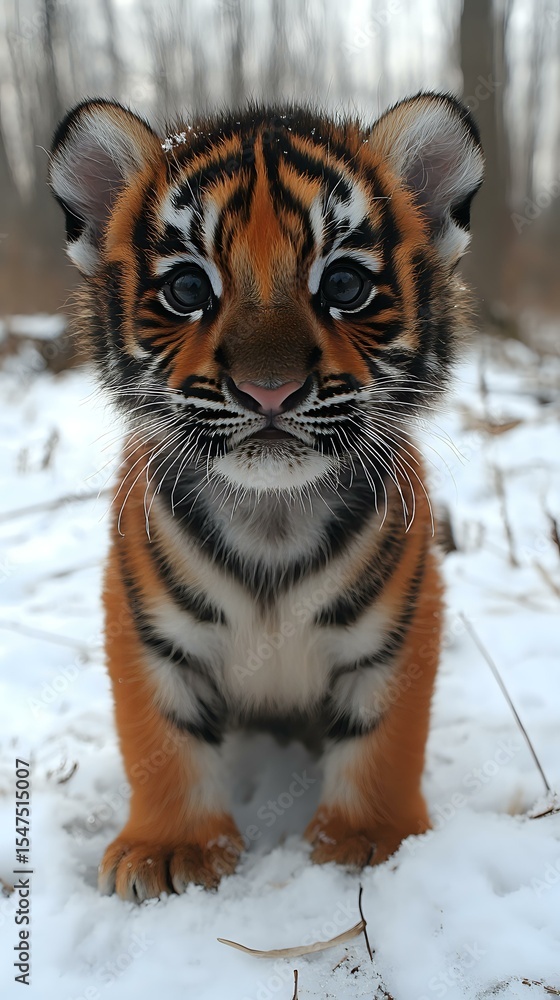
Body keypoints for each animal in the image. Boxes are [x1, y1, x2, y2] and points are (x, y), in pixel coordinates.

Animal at [49, 92, 483, 902]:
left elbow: (383, 740)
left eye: (343, 285)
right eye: (188, 289)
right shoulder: (145, 624)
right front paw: (170, 850)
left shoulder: (402, 622)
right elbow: (164, 741)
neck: (273, 515)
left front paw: (369, 842)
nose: (269, 388)